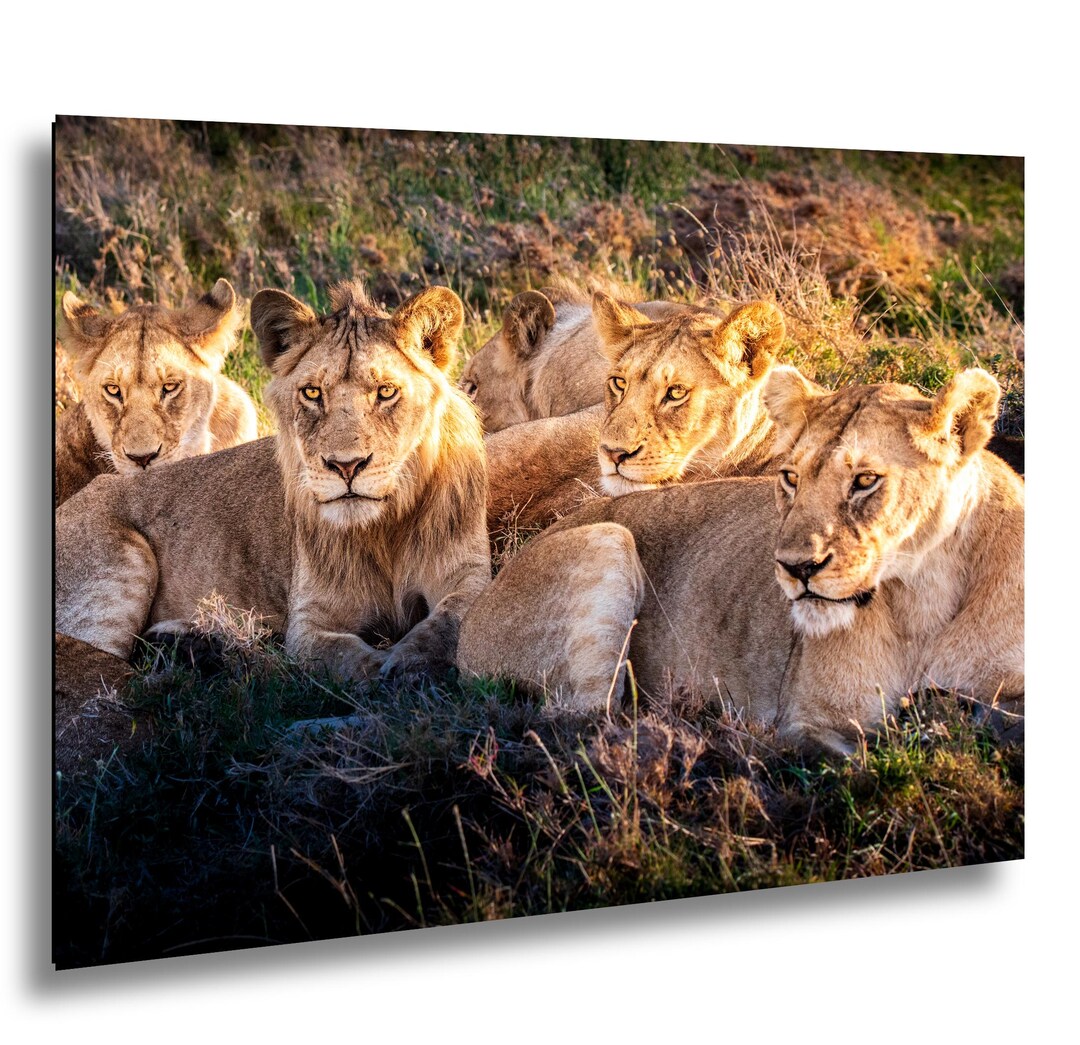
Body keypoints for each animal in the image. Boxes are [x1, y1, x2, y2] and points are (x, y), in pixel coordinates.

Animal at [459, 368, 1024, 753]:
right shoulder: (807, 722)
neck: (923, 597)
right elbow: (864, 756)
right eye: (791, 477)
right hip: (608, 538)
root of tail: (471, 618)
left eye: (865, 480)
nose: (796, 569)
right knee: (585, 724)